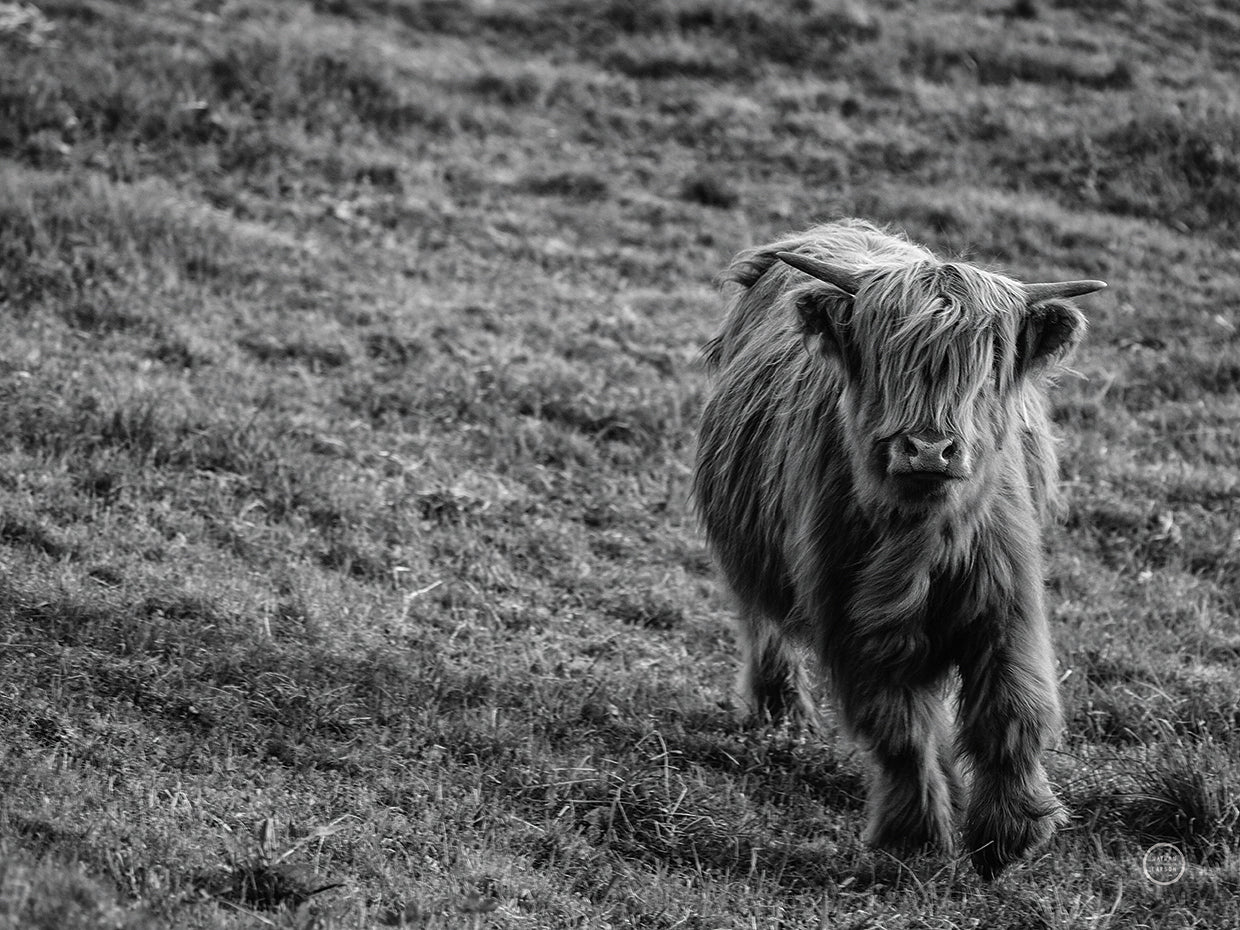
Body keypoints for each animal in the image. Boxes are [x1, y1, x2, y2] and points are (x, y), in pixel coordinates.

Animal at [692, 219, 1106, 879]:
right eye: (885, 351)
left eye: (988, 360)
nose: (929, 449)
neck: (922, 539)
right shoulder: (854, 622)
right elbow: (900, 729)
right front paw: (915, 837)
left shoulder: (1007, 605)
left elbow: (1013, 710)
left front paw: (1011, 832)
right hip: (751, 547)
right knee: (763, 620)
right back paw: (780, 713)